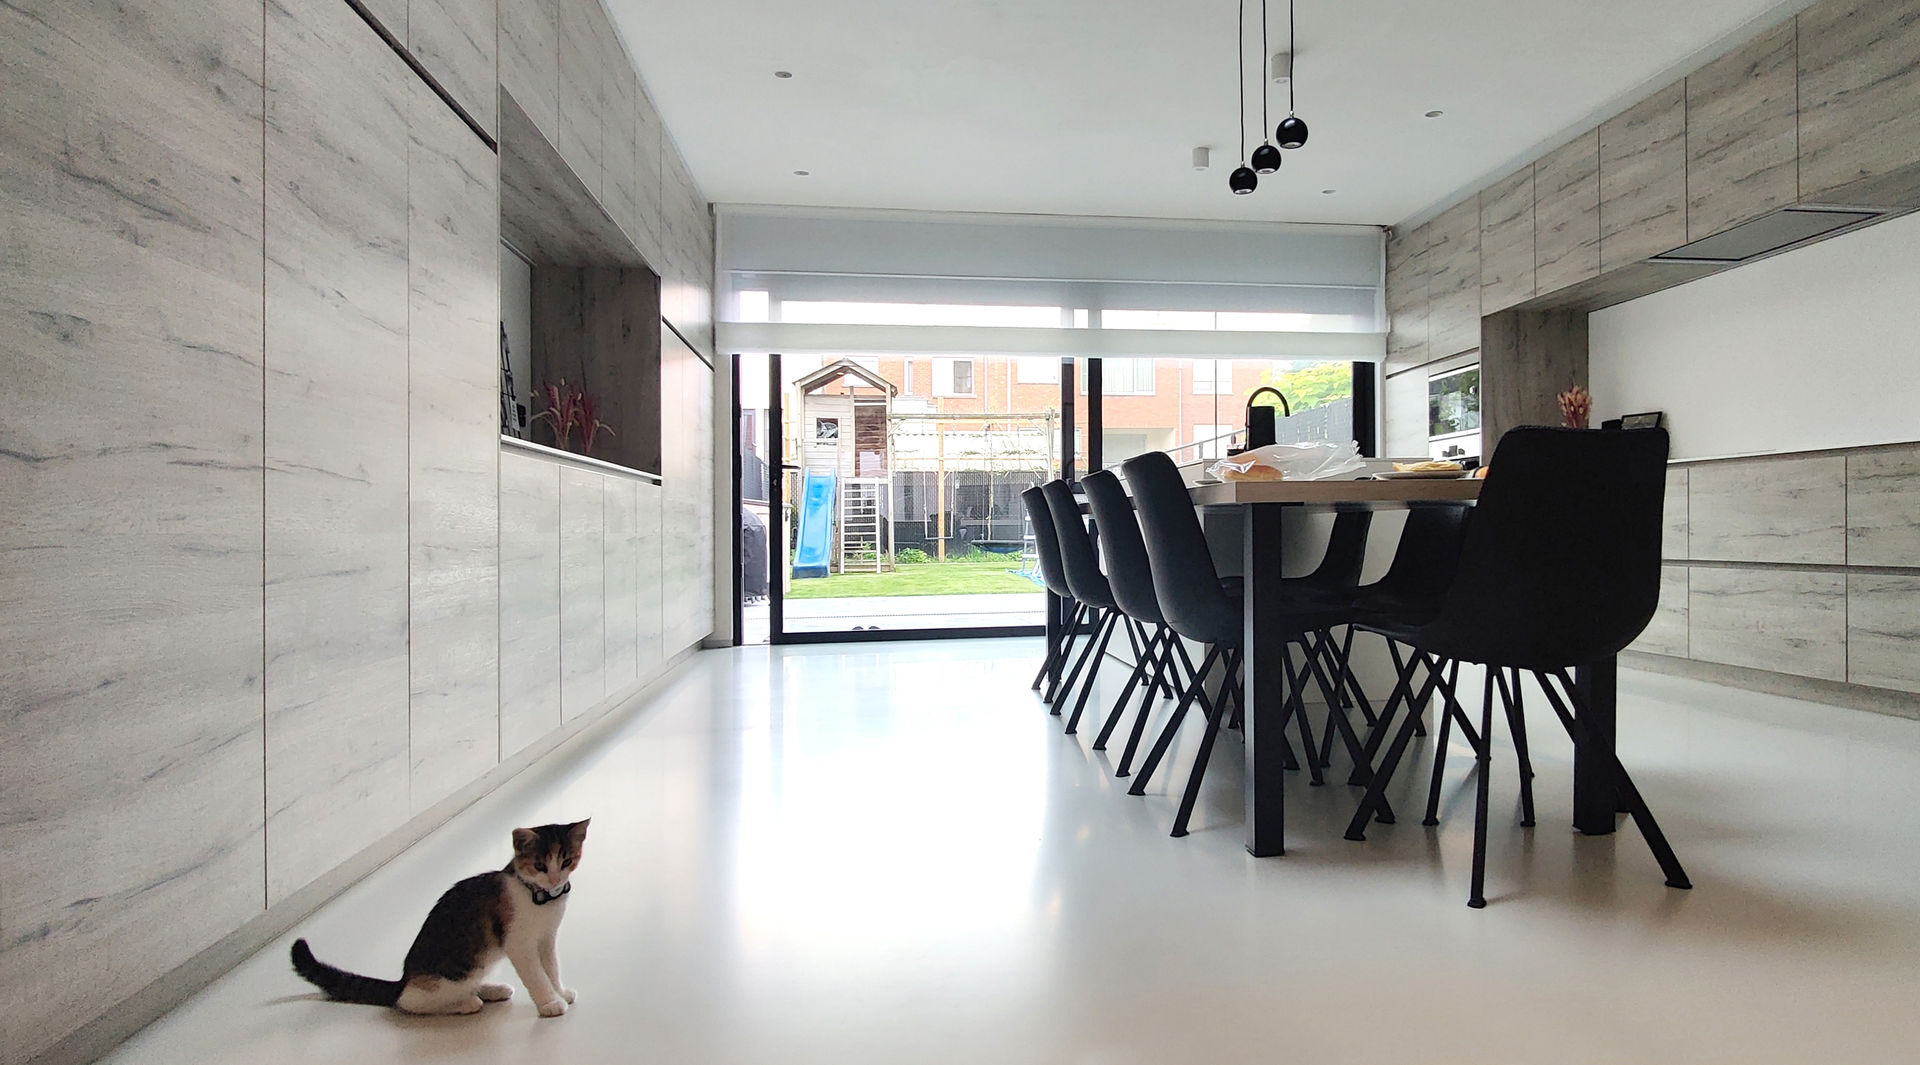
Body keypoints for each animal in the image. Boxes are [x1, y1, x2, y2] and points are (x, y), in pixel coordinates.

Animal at [289, 821, 583, 1020]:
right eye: (540, 866)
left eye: (566, 861)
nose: (555, 880)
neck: (539, 897)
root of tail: (403, 980)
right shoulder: (518, 943)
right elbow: (536, 975)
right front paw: (550, 1002)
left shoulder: (547, 937)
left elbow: (551, 968)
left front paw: (560, 992)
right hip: (441, 981)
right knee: (410, 1003)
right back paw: (465, 1003)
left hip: (480, 962)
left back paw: (491, 989)